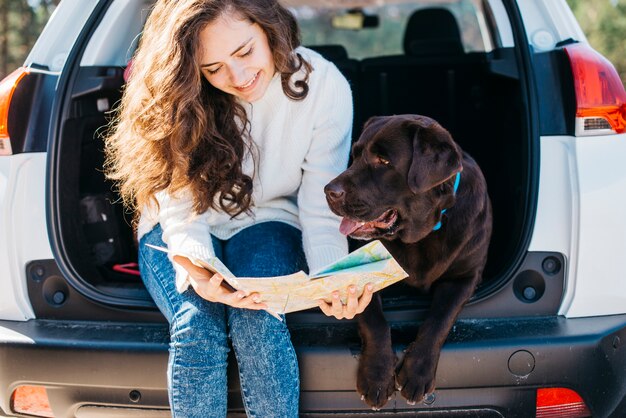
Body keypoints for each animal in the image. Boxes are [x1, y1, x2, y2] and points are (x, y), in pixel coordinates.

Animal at [324, 114, 490, 408]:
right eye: (355, 155)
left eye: (383, 161)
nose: (329, 191)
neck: (422, 233)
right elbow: (375, 322)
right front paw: (377, 377)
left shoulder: (465, 276)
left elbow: (439, 319)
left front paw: (417, 373)